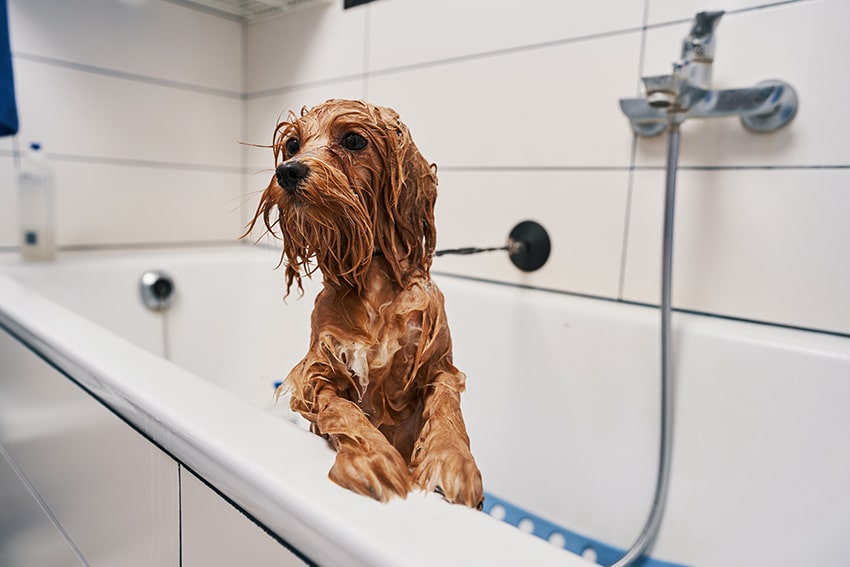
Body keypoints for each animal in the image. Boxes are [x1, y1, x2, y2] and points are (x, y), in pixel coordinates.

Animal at [245, 100, 484, 508]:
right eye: (292, 144)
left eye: (354, 140)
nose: (288, 171)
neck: (373, 285)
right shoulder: (318, 374)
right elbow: (344, 412)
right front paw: (374, 459)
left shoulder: (439, 366)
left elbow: (447, 410)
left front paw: (452, 462)